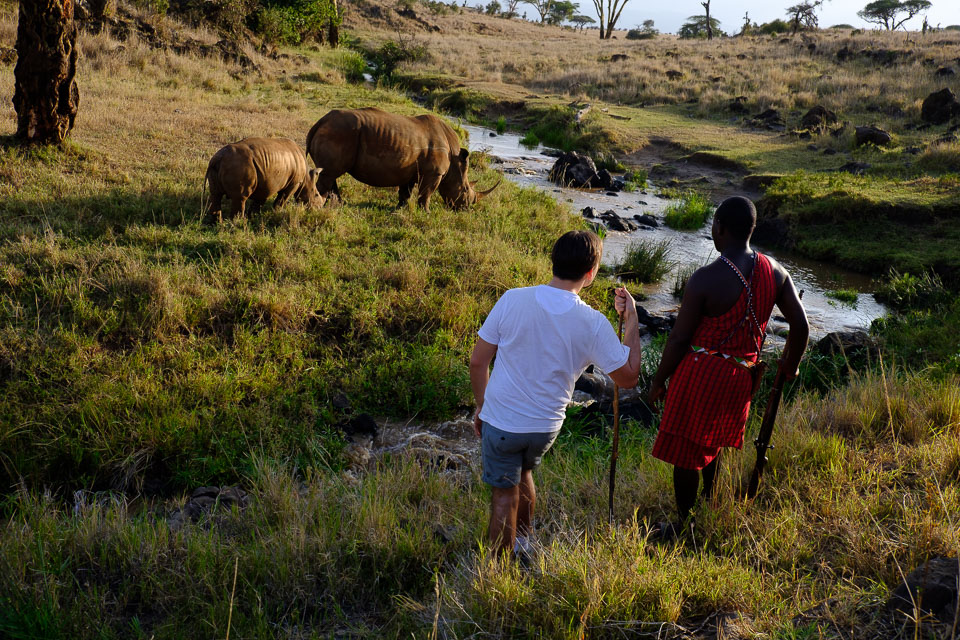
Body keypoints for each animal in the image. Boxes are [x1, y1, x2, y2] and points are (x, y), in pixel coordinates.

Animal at [308, 107, 502, 211]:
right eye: (465, 189)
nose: (466, 208)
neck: (455, 161)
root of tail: (320, 122)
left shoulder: (408, 171)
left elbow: (405, 192)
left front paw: (400, 208)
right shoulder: (434, 173)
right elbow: (426, 193)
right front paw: (426, 212)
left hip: (338, 131)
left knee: (330, 174)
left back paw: (337, 204)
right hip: (340, 132)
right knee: (329, 174)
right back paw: (318, 206)